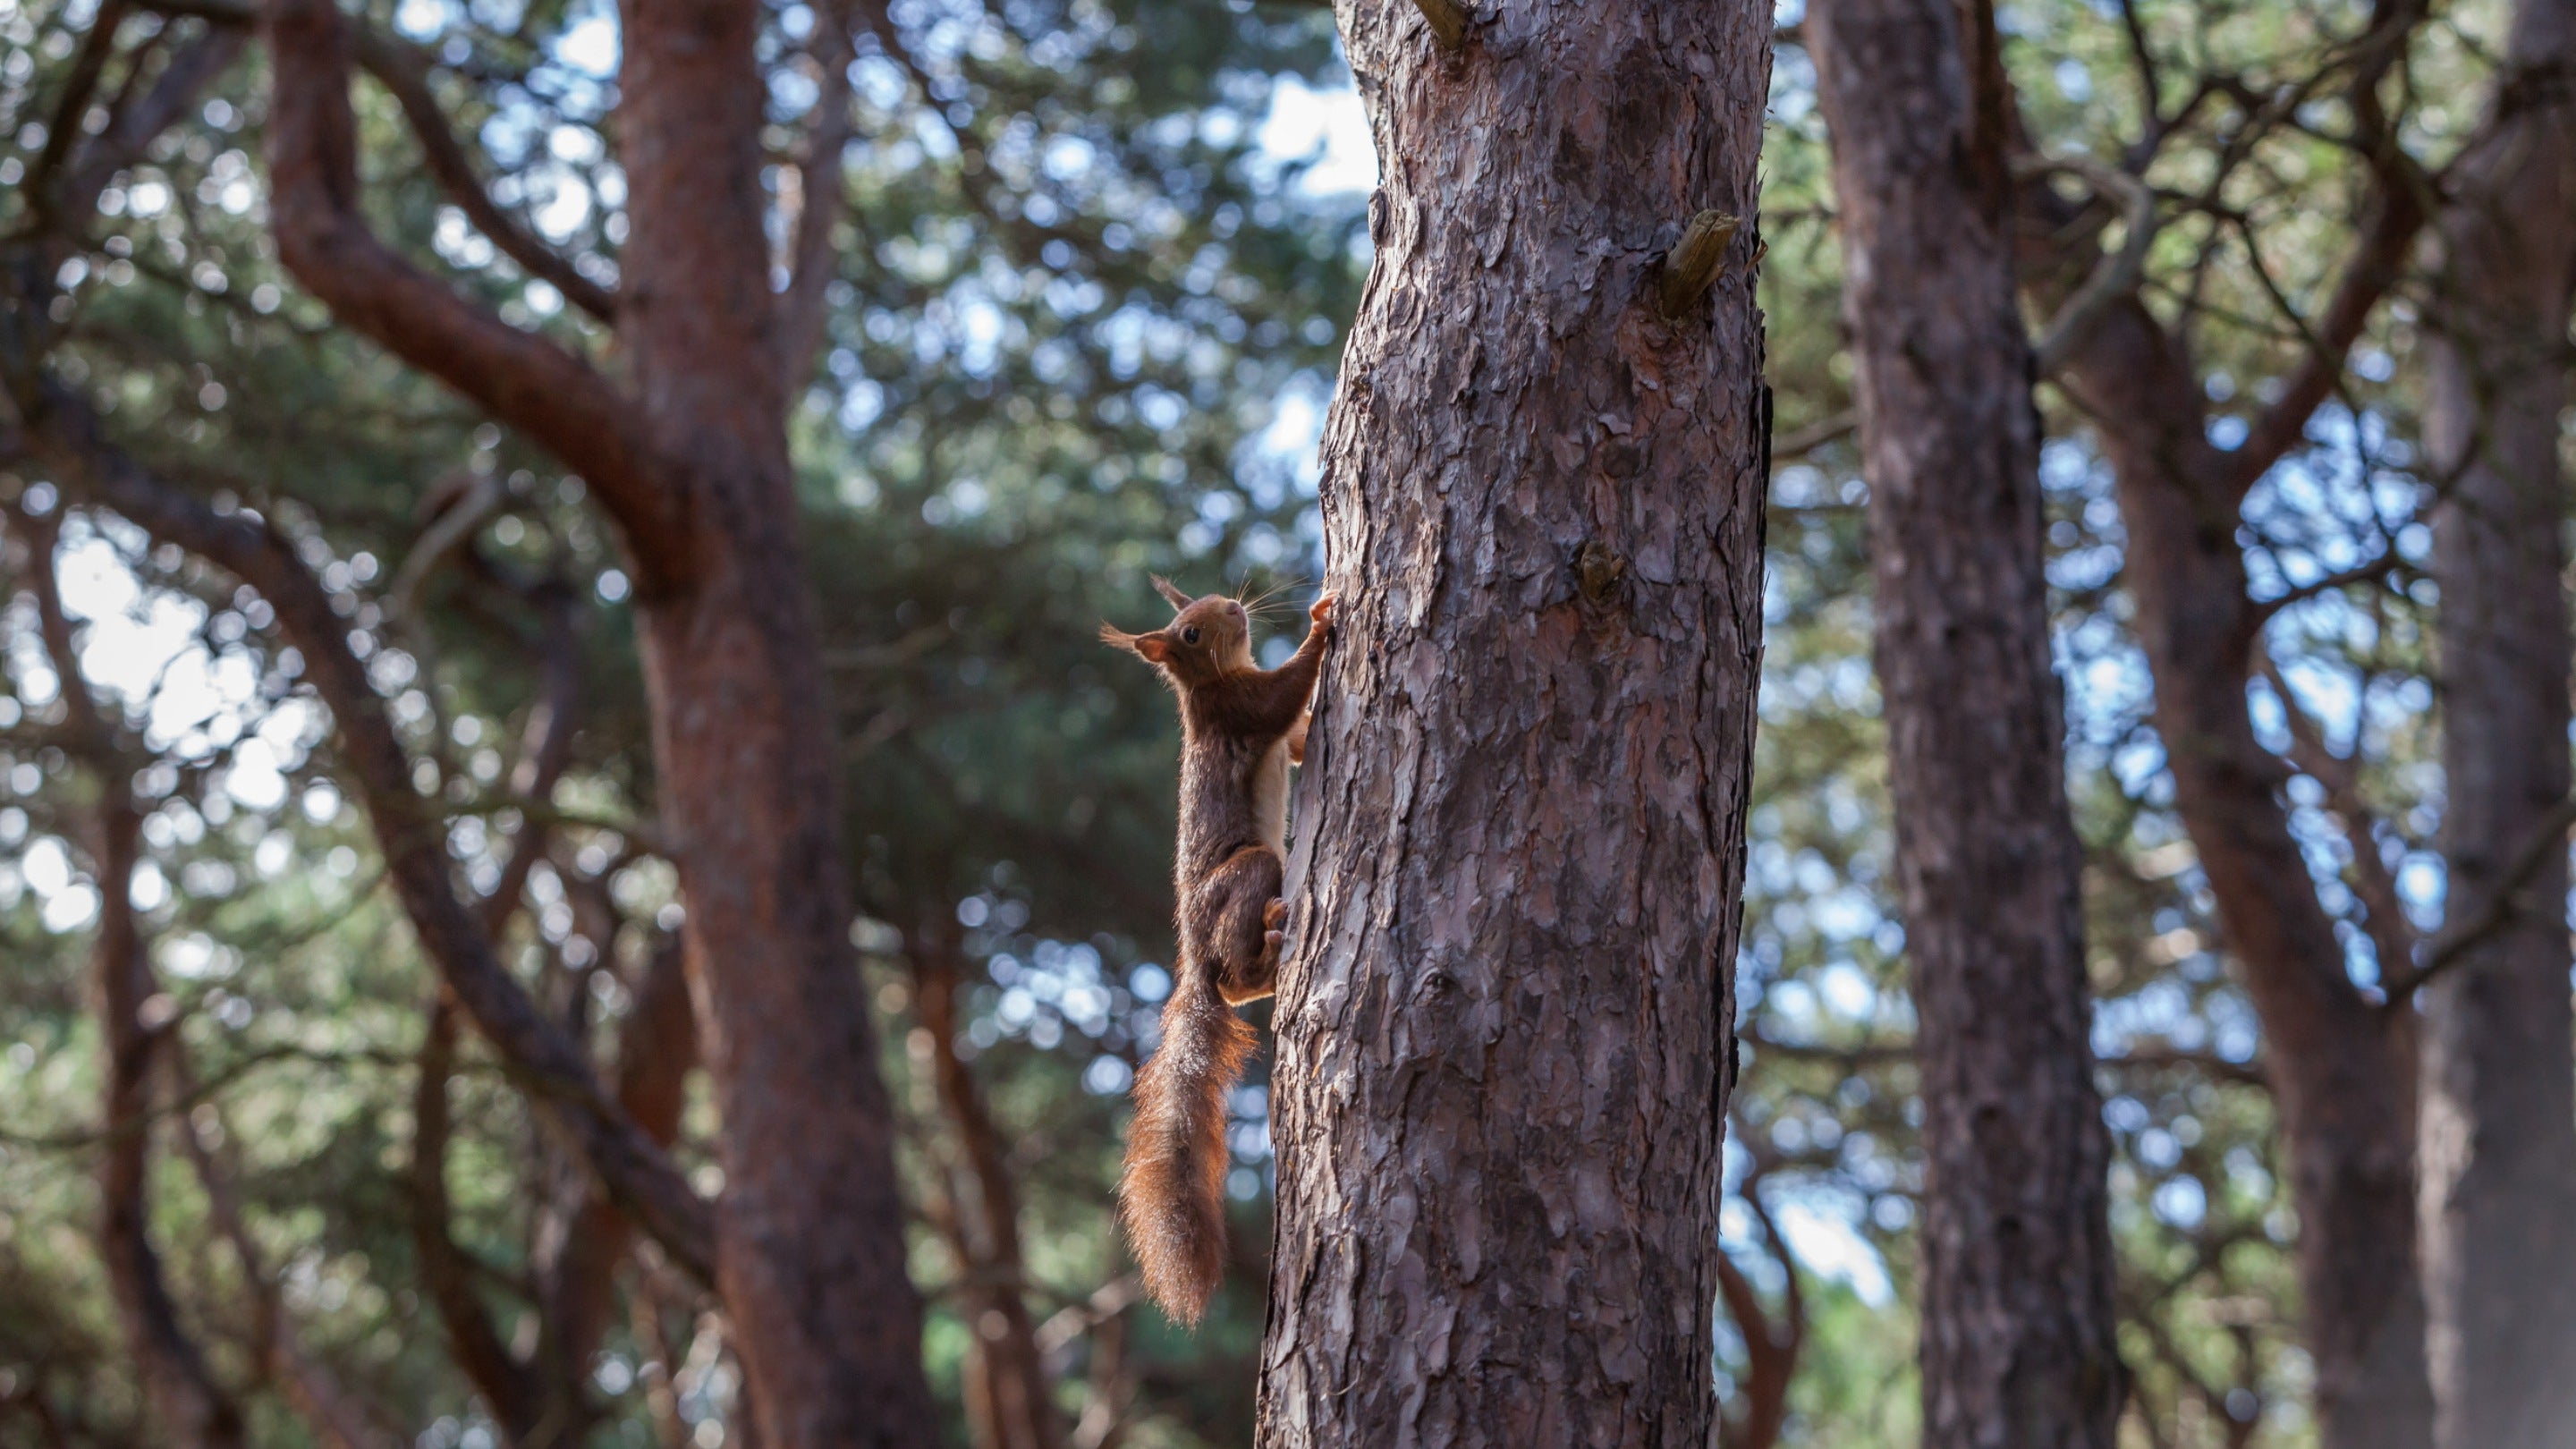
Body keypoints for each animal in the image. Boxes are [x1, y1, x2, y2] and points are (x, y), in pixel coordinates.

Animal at [1099, 574, 1334, 1325]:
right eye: (1191, 632)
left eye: (1208, 600)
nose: (1233, 607)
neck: (1210, 681)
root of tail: (1195, 961)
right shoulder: (1238, 709)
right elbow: (1284, 695)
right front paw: (1322, 622)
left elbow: (1297, 738)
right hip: (1250, 870)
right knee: (1236, 968)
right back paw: (1269, 941)